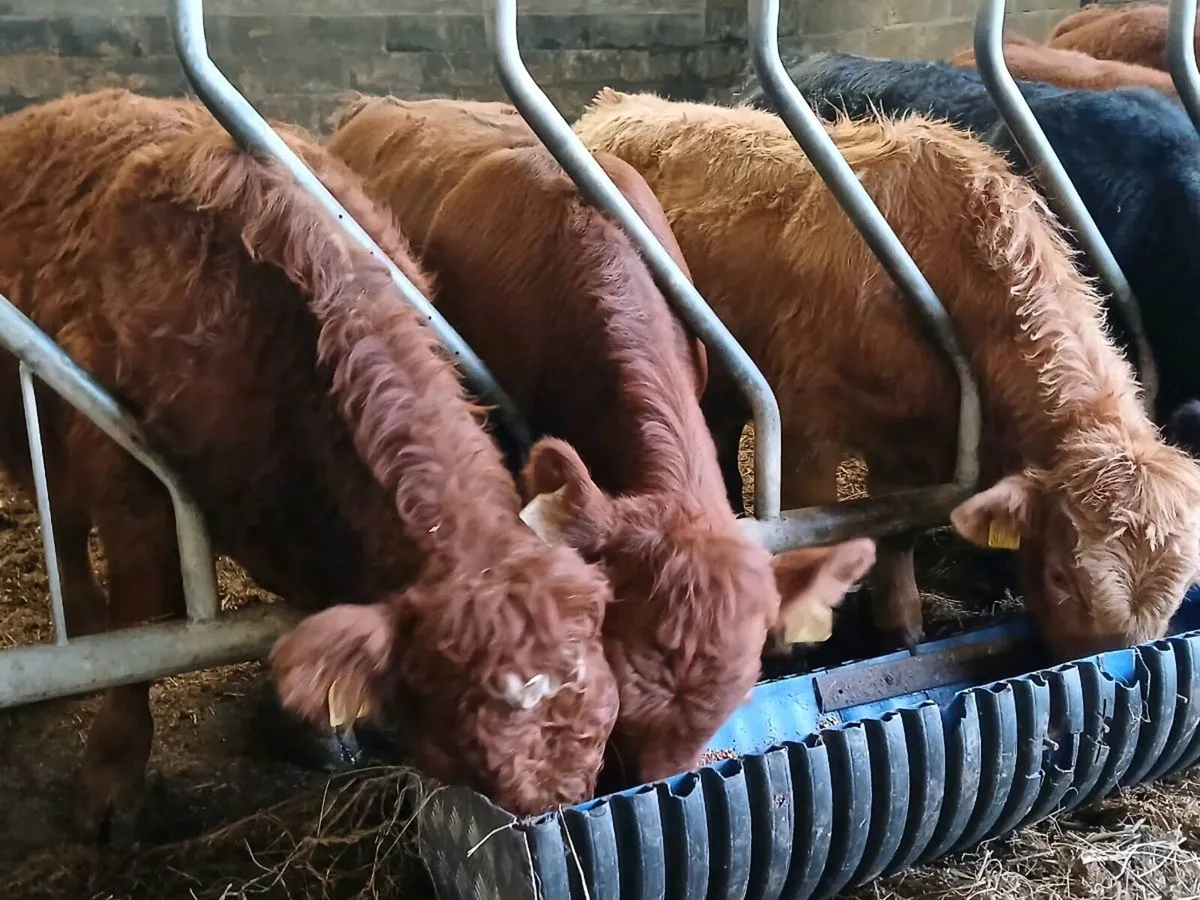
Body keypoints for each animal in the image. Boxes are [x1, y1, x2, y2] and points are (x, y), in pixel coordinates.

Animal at [0, 89, 625, 843]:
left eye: (601, 733)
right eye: (476, 758)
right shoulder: (133, 489)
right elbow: (142, 621)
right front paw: (111, 780)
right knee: (60, 520)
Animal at [574, 89, 1200, 662]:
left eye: (1177, 597)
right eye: (1062, 578)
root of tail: (618, 101)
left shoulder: (917, 444)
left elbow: (897, 530)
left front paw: (902, 629)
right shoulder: (806, 425)